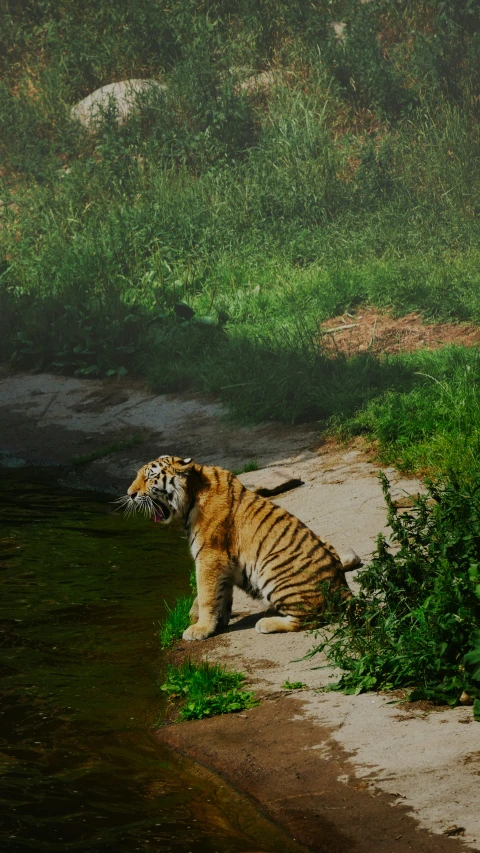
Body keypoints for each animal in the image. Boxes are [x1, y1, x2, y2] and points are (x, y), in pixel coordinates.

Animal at [124, 452, 360, 640]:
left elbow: (206, 595)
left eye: (150, 477)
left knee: (311, 617)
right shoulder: (222, 564)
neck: (191, 495)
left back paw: (266, 623)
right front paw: (217, 623)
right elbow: (221, 595)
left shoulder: (209, 557)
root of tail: (342, 586)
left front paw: (199, 628)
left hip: (272, 570)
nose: (130, 494)